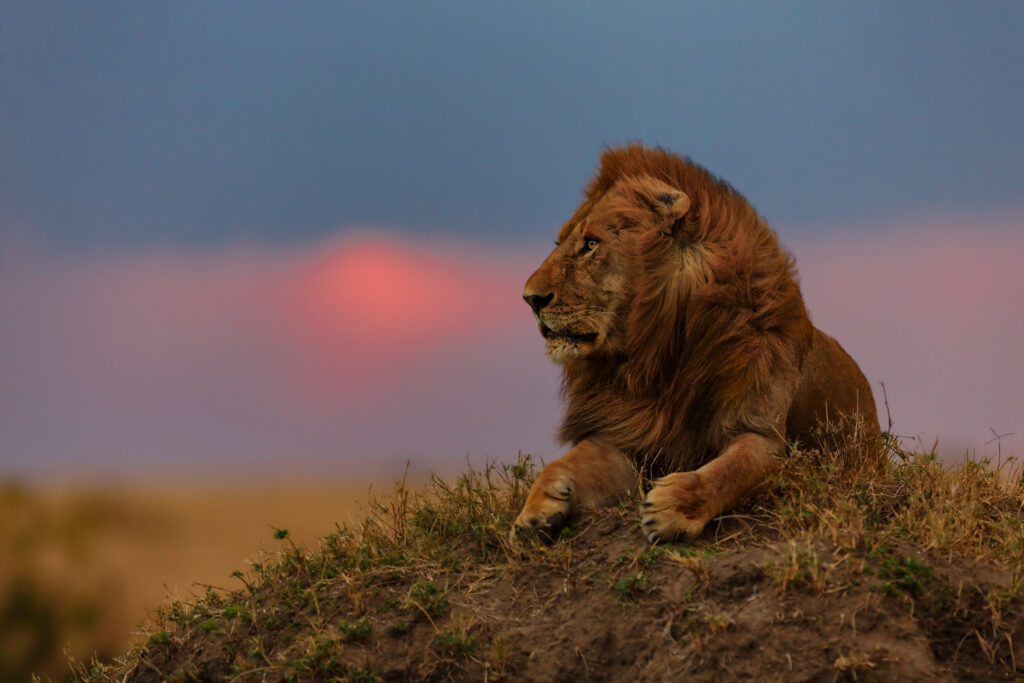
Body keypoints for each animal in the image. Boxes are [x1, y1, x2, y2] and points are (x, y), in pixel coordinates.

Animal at [512, 144, 880, 544]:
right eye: (559, 243)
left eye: (591, 244)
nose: (530, 299)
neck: (656, 356)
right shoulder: (626, 436)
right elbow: (563, 463)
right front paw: (535, 513)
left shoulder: (761, 434)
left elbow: (732, 470)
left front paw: (672, 507)